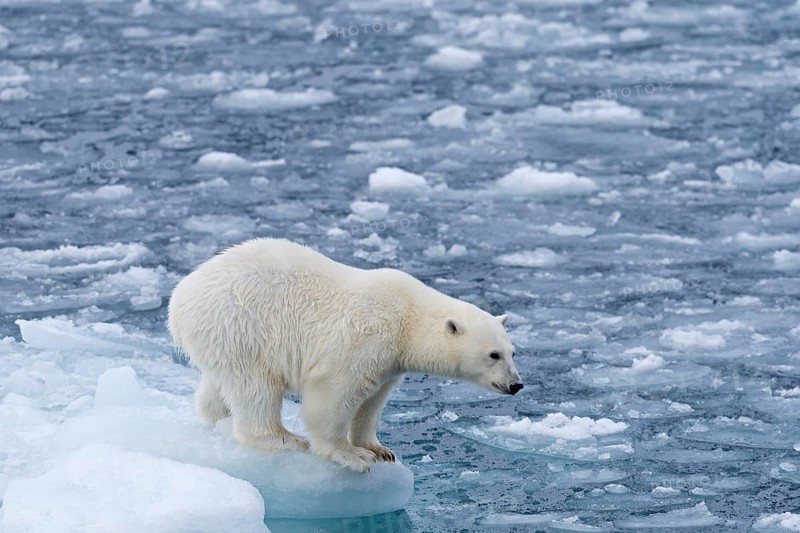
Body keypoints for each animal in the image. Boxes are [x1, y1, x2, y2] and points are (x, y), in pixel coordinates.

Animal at [168, 238, 523, 472]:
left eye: (512, 352)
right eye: (493, 355)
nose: (516, 384)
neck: (407, 317)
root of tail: (179, 299)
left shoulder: (389, 362)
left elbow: (372, 402)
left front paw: (380, 449)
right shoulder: (365, 337)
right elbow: (333, 393)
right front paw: (352, 456)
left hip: (221, 338)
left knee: (221, 384)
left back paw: (217, 416)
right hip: (243, 327)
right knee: (257, 387)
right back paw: (285, 439)